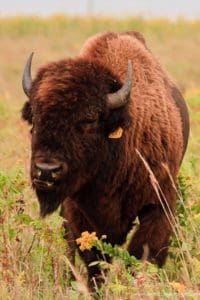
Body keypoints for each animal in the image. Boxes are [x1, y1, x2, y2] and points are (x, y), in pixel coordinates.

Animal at [21, 30, 190, 288]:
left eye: (90, 119)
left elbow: (143, 254)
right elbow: (94, 260)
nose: (46, 170)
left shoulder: (159, 203)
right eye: (36, 118)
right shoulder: (77, 211)